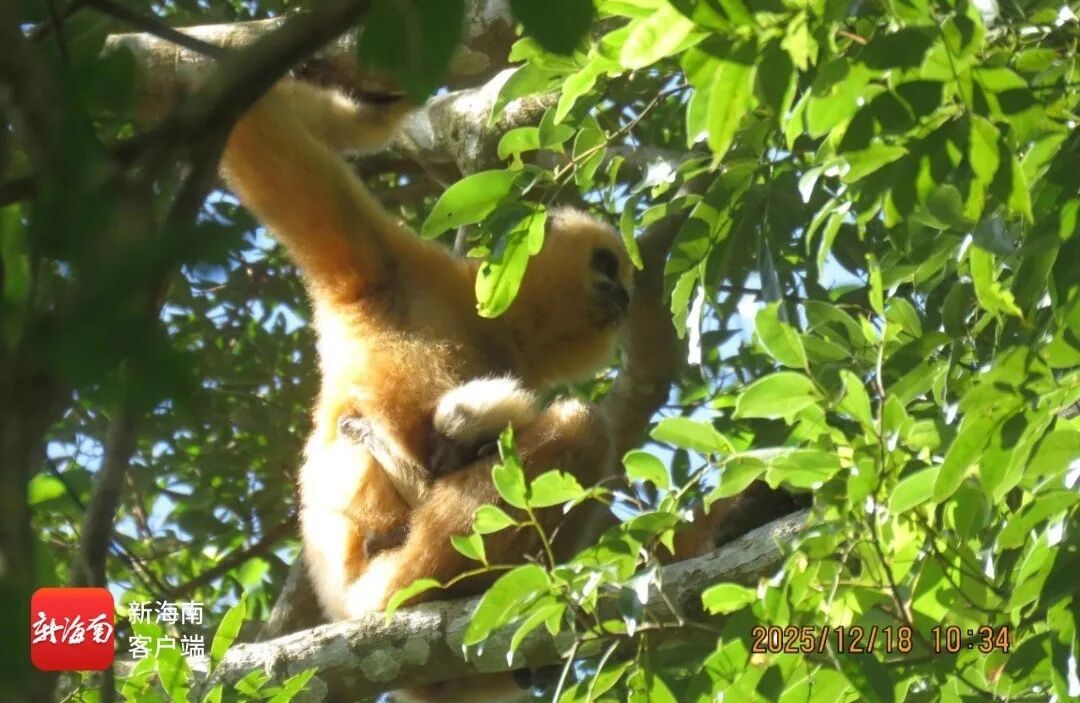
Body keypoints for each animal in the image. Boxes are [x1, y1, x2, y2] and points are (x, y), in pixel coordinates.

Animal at [221, 78, 633, 630]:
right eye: (606, 265)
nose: (624, 296)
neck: (483, 321)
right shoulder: (396, 264)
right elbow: (261, 140)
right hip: (397, 576)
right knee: (579, 426)